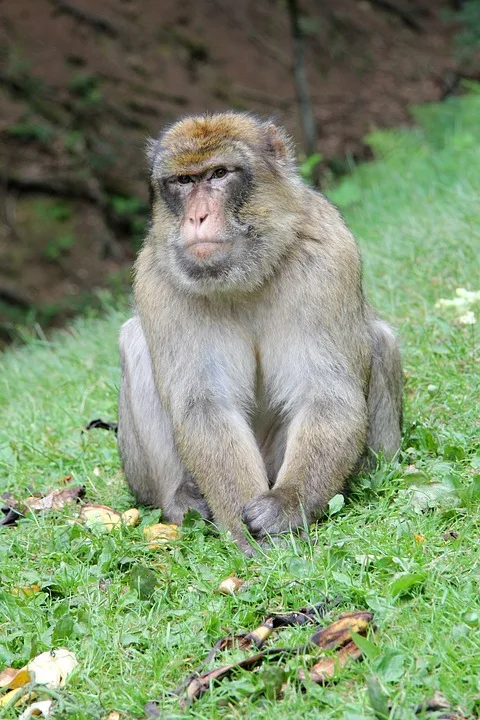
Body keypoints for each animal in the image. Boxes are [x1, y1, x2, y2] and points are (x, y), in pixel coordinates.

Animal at [118, 112, 404, 552]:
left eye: (218, 174)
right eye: (183, 180)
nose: (197, 218)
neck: (245, 276)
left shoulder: (327, 254)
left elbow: (327, 395)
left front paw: (287, 505)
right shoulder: (155, 279)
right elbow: (204, 406)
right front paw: (242, 530)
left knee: (379, 341)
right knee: (135, 342)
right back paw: (181, 498)